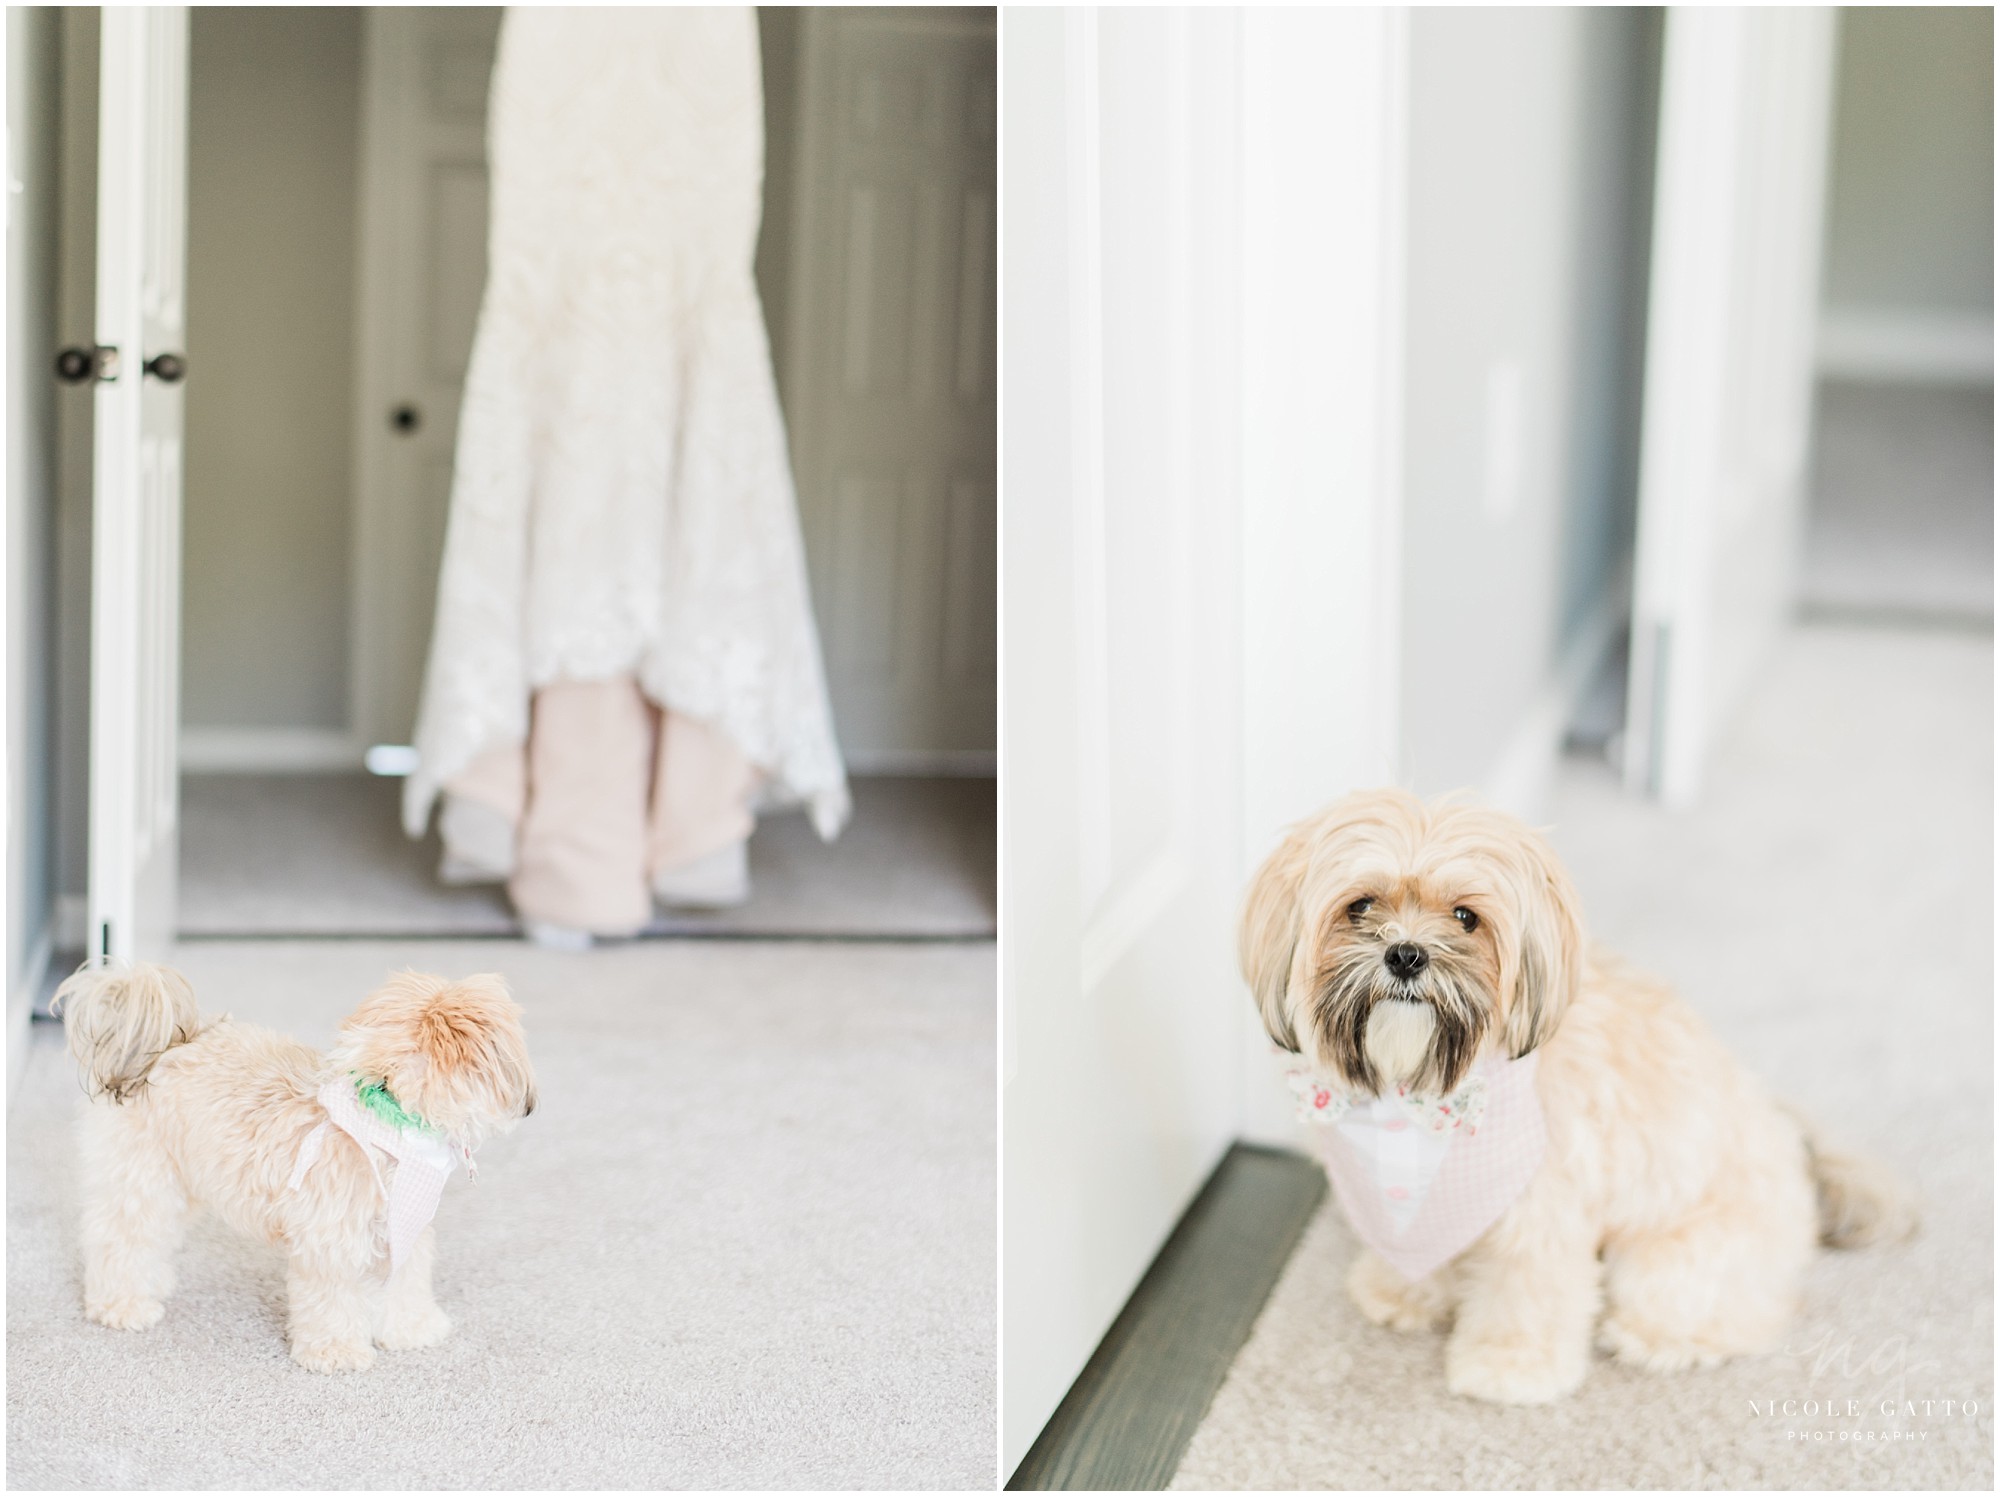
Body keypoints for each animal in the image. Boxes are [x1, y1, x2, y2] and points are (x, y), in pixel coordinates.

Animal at [53, 964, 536, 1376]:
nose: (529, 1104)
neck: (385, 1115)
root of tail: (163, 1047)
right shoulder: (330, 1242)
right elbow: (332, 1301)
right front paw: (336, 1352)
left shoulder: (403, 1234)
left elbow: (406, 1286)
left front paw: (412, 1329)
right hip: (142, 1180)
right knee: (120, 1239)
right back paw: (123, 1305)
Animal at [1240, 788, 1912, 1408]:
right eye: (1360, 906)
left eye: (1465, 917)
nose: (1406, 954)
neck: (1416, 1100)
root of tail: (1799, 1153)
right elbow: (1426, 1249)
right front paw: (1402, 1291)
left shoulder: (1540, 1213)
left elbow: (1526, 1290)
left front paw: (1509, 1365)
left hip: (1671, 1264)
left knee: (1739, 1315)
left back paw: (1662, 1340)